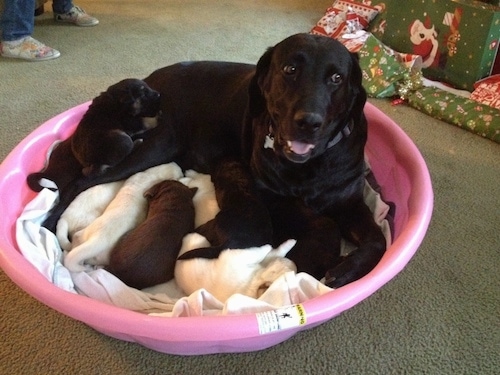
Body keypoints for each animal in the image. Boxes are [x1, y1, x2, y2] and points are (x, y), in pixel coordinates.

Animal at [40, 34, 386, 288]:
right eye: (290, 70)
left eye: (337, 78)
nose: (309, 122)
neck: (310, 166)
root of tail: (151, 81)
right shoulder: (271, 197)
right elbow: (320, 221)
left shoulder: (350, 202)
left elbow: (378, 239)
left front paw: (348, 268)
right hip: (152, 147)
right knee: (81, 182)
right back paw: (49, 222)